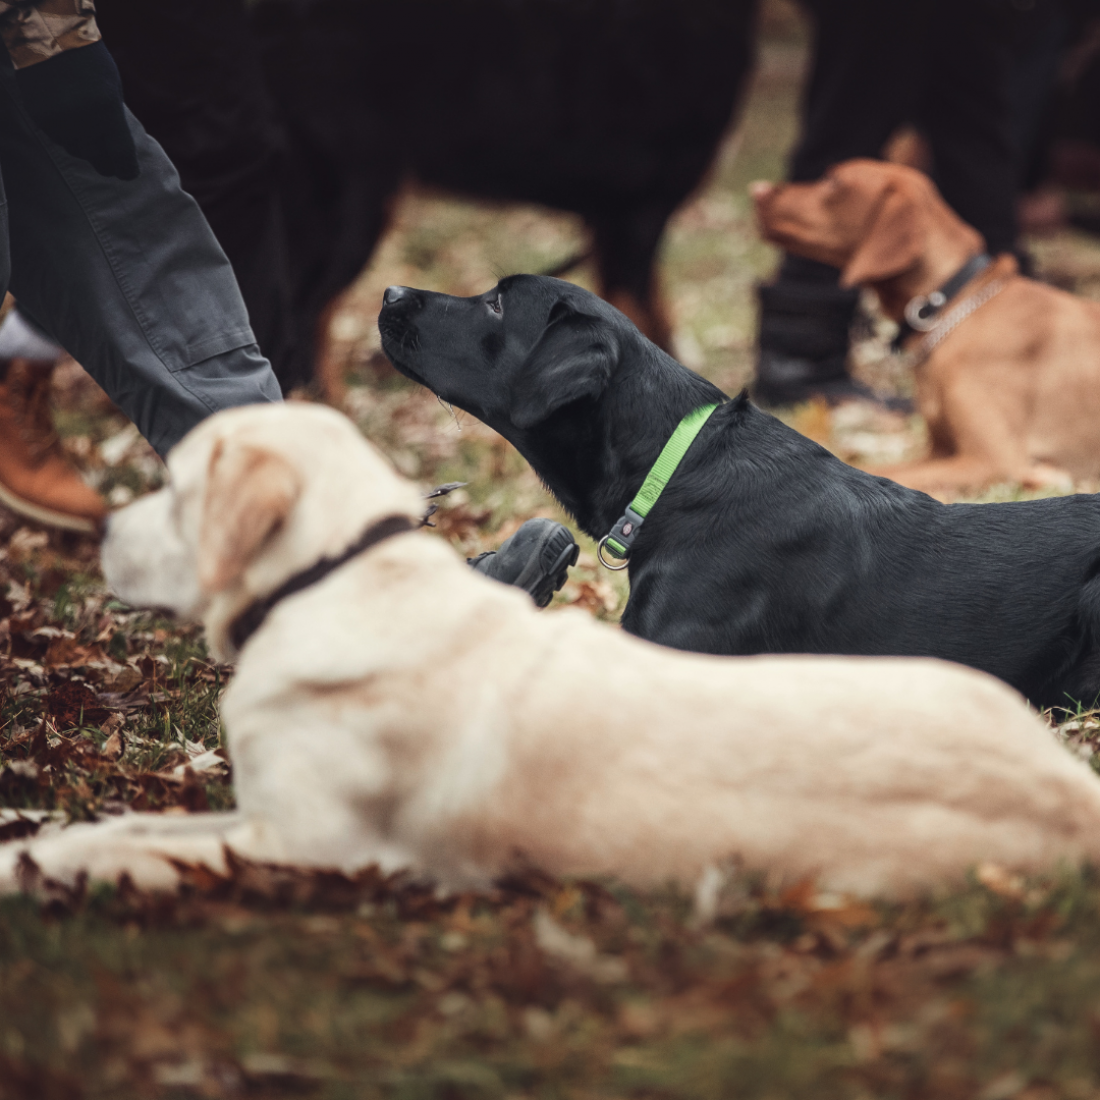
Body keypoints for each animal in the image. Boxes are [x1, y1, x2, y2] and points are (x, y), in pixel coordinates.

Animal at [6, 404, 1100, 893]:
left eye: (176, 486)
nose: (101, 530)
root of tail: (1063, 792)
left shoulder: (323, 844)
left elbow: (143, 848)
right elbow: (125, 829)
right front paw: (38, 846)